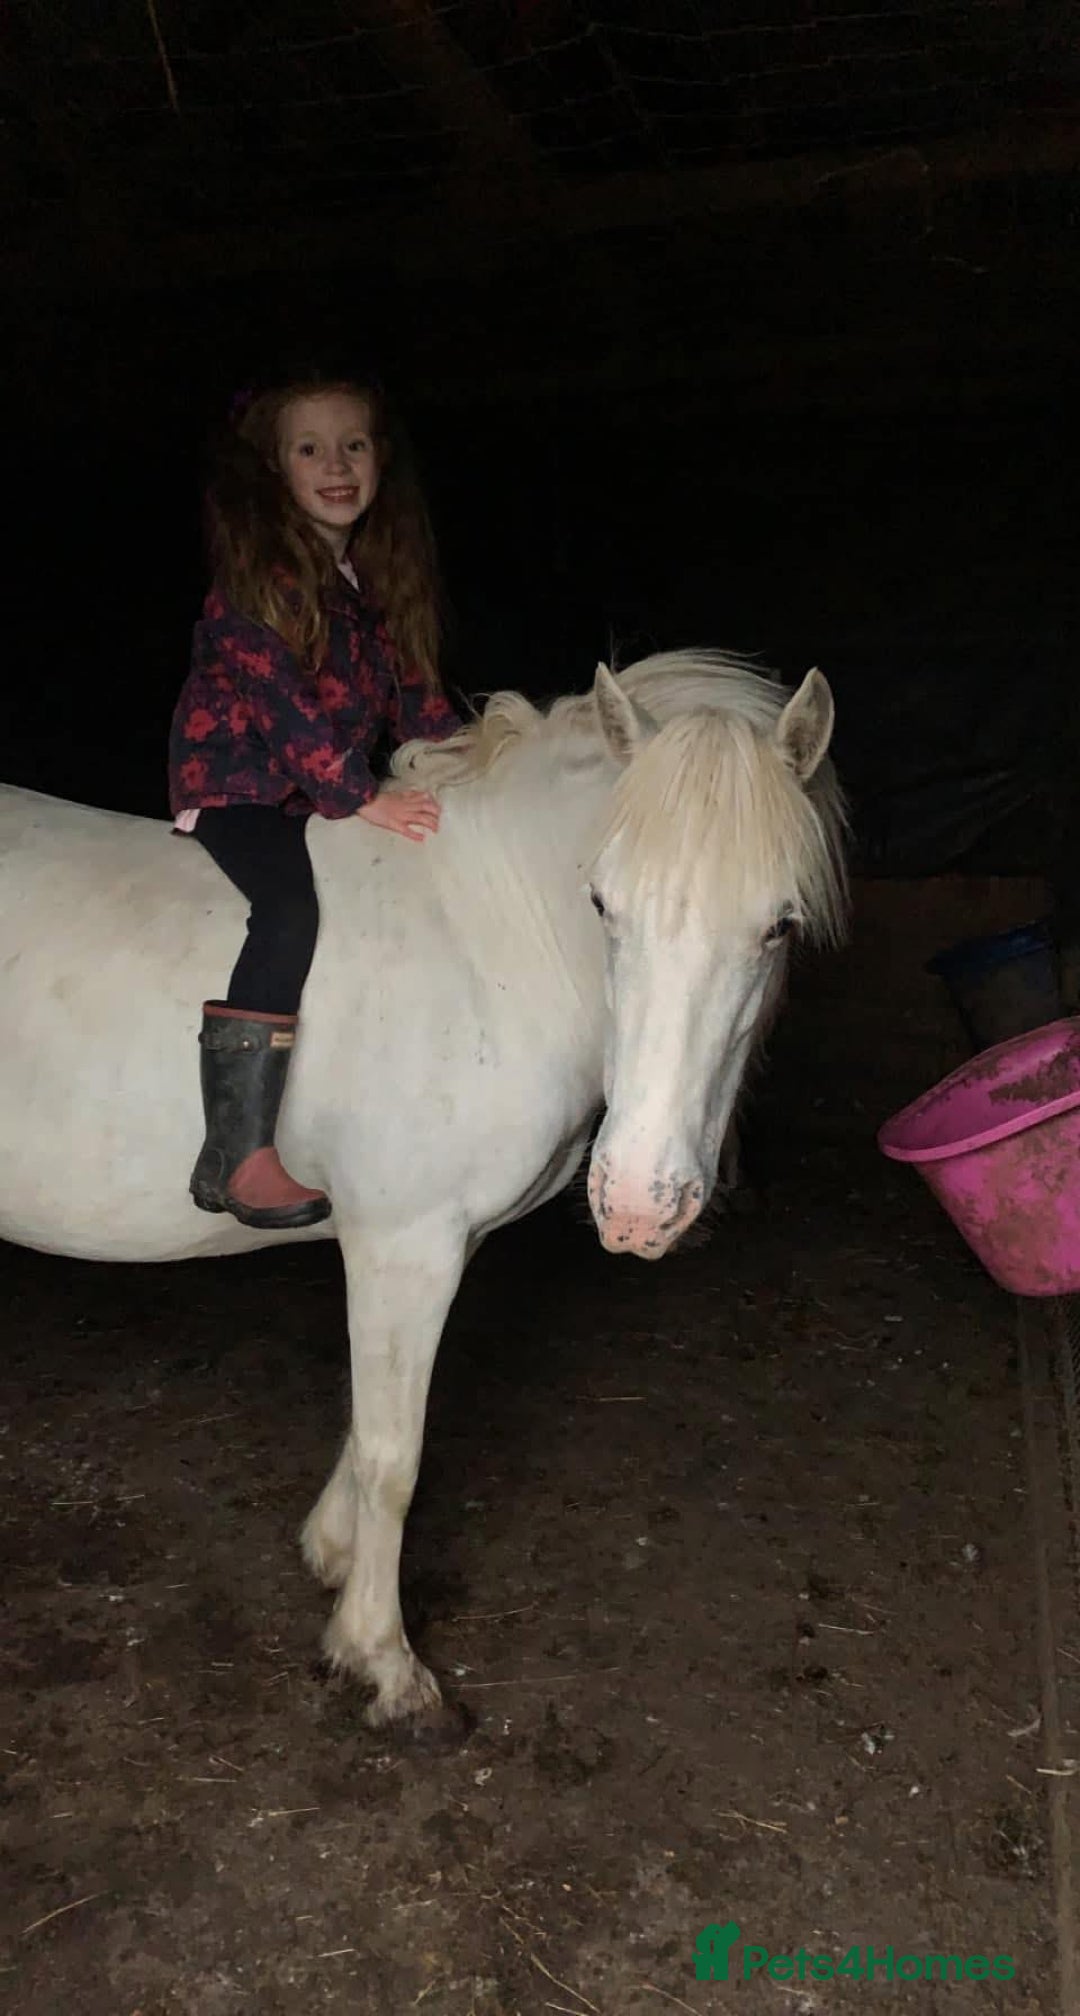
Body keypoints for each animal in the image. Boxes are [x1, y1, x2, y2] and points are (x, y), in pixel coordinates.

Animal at [0, 652, 846, 1729]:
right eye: (603, 904)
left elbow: (370, 1424)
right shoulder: (404, 1246)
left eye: (779, 926)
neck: (488, 946)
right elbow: (394, 1457)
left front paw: (331, 1551)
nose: (638, 1201)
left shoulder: (429, 1247)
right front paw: (381, 1657)